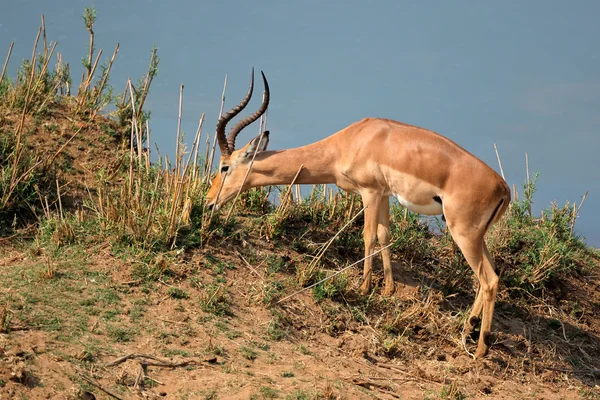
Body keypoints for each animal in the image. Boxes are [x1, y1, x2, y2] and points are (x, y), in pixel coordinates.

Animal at [206, 70, 510, 358]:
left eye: (224, 166)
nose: (209, 202)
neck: (349, 143)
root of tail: (503, 187)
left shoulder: (370, 192)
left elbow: (368, 236)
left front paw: (363, 288)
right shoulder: (384, 195)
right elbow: (384, 235)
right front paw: (387, 290)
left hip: (463, 234)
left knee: (489, 280)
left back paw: (480, 349)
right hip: (476, 237)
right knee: (490, 273)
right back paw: (468, 328)